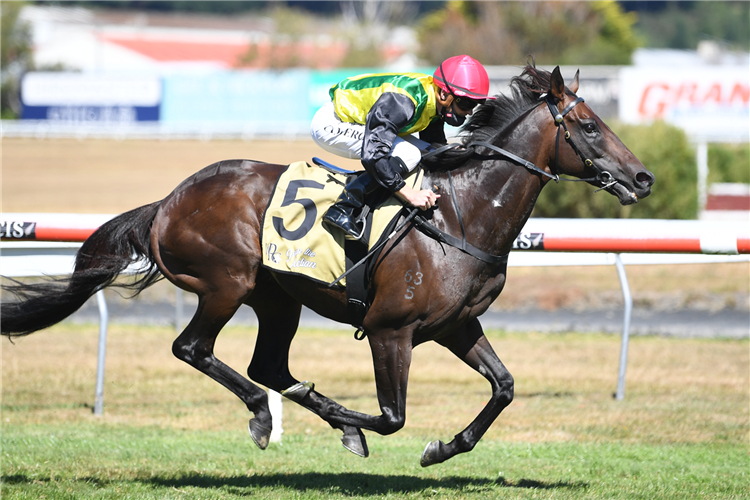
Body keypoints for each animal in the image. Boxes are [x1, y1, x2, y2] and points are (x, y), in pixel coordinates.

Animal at [1, 64, 652, 466]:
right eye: (589, 126)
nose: (643, 177)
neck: (461, 216)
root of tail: (168, 201)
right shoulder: (391, 331)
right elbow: (391, 417)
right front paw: (352, 421)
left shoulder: (456, 326)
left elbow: (505, 387)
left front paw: (443, 447)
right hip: (226, 283)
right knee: (195, 349)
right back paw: (266, 416)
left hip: (277, 298)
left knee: (266, 364)